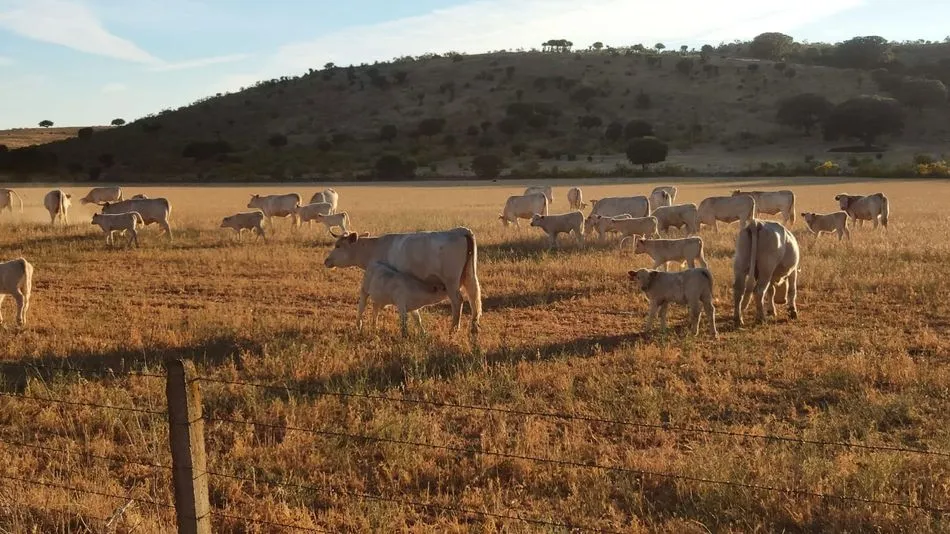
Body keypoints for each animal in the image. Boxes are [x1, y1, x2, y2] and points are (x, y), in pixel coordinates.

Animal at [324, 227, 481, 333]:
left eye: (338, 246)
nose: (326, 261)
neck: (374, 247)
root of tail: (460, 231)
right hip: (470, 276)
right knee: (474, 298)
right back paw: (474, 327)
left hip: (451, 282)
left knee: (458, 301)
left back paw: (453, 329)